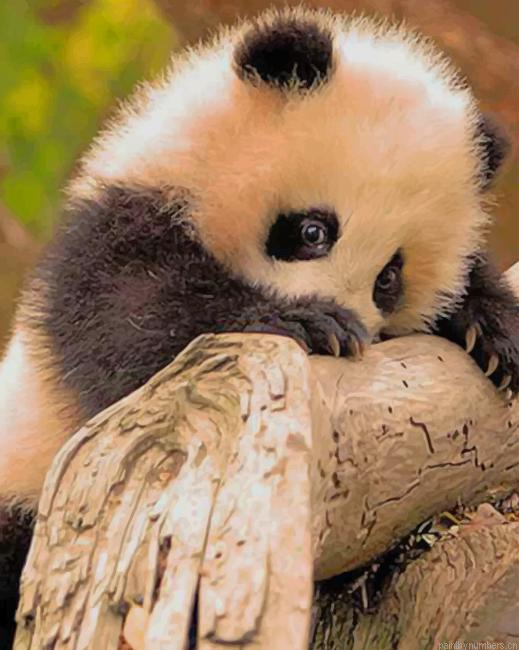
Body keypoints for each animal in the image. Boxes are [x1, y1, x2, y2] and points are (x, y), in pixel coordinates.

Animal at [0, 6, 518, 636]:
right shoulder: (110, 239)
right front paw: (309, 323)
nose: (352, 321)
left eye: (389, 278)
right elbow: (139, 327)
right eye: (313, 230)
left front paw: (490, 331)